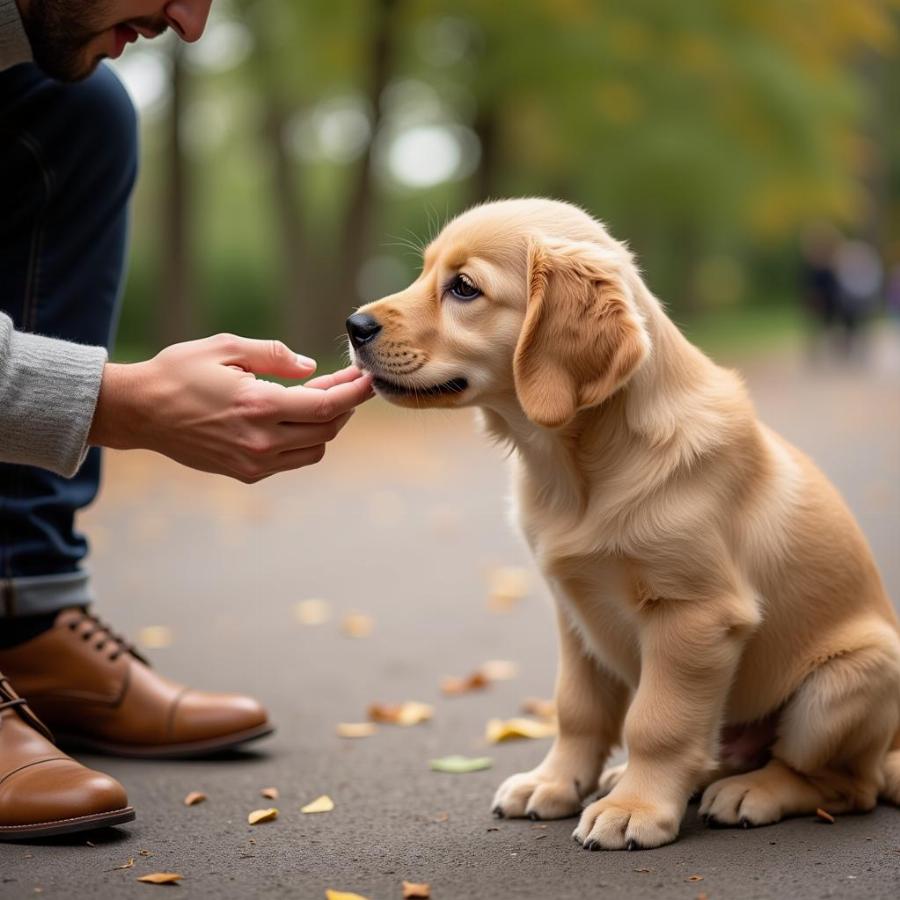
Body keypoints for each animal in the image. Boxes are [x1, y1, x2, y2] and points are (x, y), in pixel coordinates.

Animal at [346, 199, 900, 852]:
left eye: (463, 288)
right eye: (425, 272)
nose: (354, 325)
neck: (574, 471)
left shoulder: (694, 614)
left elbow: (658, 722)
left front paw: (635, 808)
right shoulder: (574, 609)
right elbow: (577, 709)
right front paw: (555, 783)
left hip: (847, 683)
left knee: (843, 783)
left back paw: (753, 791)